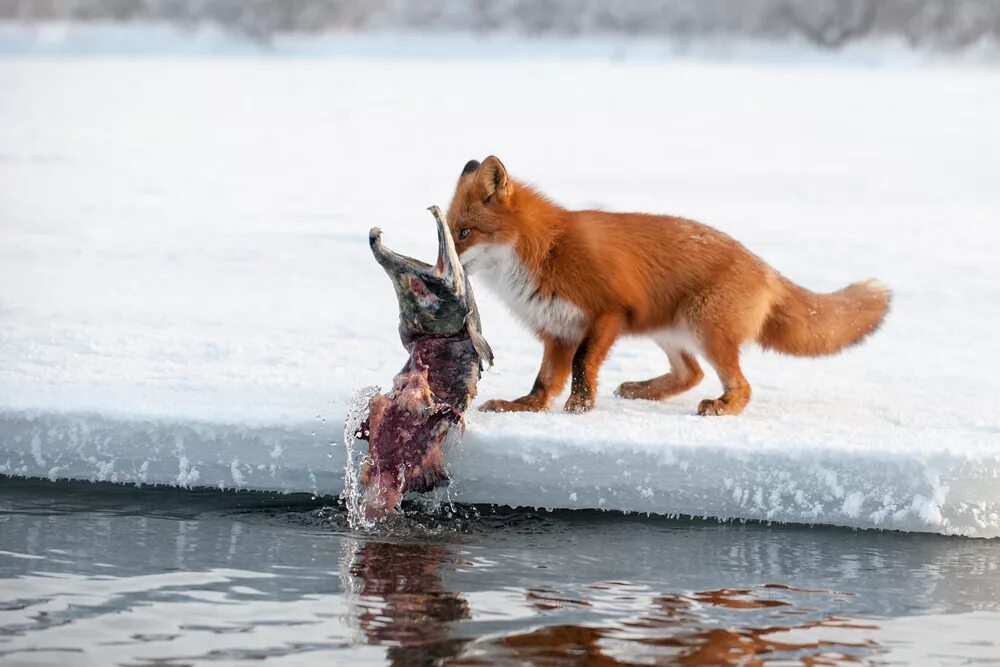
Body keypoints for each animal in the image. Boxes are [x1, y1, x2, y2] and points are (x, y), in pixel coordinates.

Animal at [446, 157, 892, 418]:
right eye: (449, 231)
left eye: (465, 232)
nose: (438, 264)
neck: (546, 250)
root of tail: (764, 266)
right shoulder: (557, 330)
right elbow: (544, 381)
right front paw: (525, 407)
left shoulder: (609, 312)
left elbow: (582, 365)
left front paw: (580, 405)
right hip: (668, 329)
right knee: (690, 373)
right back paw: (642, 390)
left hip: (703, 327)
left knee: (739, 385)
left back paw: (723, 406)